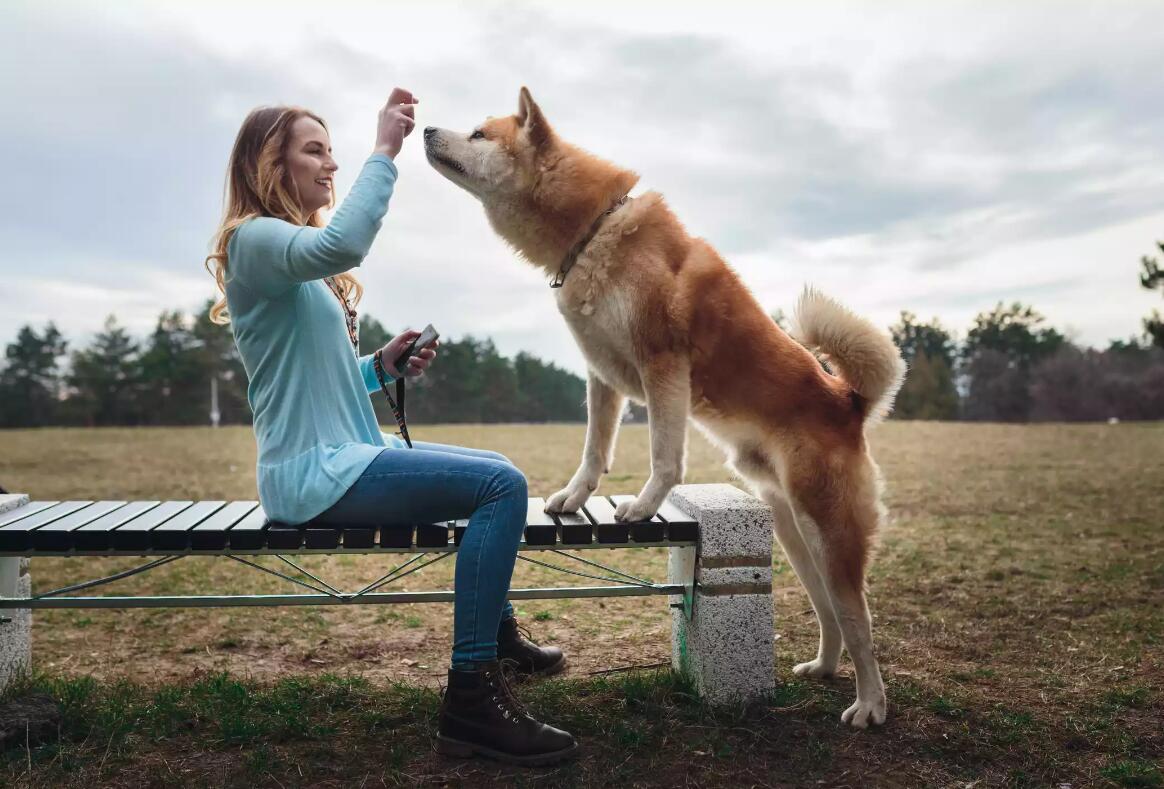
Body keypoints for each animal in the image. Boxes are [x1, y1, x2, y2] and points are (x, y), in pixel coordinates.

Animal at [423, 87, 903, 730]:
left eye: (478, 133)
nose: (425, 128)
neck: (591, 233)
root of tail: (847, 402)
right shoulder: (602, 375)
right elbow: (594, 451)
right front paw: (573, 499)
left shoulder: (663, 367)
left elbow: (663, 455)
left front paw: (645, 505)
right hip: (795, 532)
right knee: (828, 610)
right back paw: (825, 669)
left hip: (829, 530)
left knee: (858, 618)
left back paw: (870, 704)